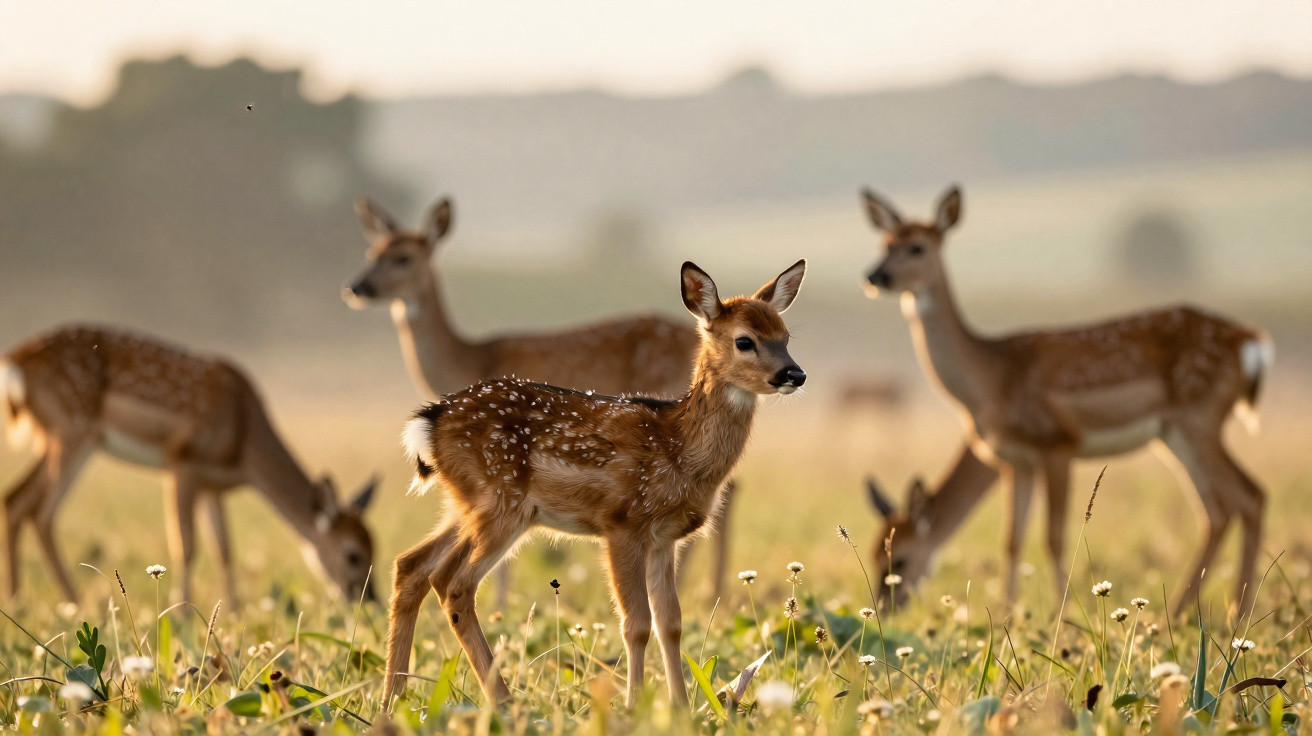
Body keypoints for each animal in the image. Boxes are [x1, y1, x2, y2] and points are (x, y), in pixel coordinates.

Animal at [2, 325, 378, 605]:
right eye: (353, 554)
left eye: (375, 548)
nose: (368, 599)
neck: (244, 442)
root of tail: (16, 361)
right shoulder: (182, 460)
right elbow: (185, 545)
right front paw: (181, 612)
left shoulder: (213, 485)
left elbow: (224, 550)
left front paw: (233, 611)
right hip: (72, 430)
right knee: (42, 511)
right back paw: (72, 601)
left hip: (56, 436)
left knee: (15, 500)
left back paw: (19, 602)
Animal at [343, 197, 737, 601]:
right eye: (372, 251)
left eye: (403, 257)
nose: (358, 287)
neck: (469, 359)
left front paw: (502, 600)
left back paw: (707, 590)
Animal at [383, 259, 807, 708]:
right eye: (745, 341)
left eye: (785, 336)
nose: (794, 373)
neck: (679, 449)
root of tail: (430, 420)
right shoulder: (622, 523)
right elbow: (636, 624)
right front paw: (634, 706)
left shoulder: (664, 539)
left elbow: (670, 623)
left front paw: (680, 707)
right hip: (501, 503)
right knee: (454, 584)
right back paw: (503, 702)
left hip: (467, 503)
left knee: (412, 565)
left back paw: (393, 697)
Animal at [859, 185, 1272, 616]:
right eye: (884, 243)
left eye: (917, 247)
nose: (875, 276)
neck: (992, 377)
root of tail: (1250, 341)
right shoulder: (1016, 461)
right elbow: (1012, 539)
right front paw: (1006, 615)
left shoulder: (1057, 443)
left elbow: (1053, 537)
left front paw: (1065, 614)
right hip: (1175, 433)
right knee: (1216, 509)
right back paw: (1180, 610)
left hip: (1200, 419)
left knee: (1250, 495)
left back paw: (1237, 613)